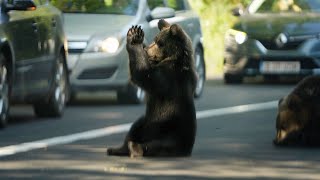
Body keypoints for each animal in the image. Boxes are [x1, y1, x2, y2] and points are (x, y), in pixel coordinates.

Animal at [106, 19, 198, 158]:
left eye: (159, 43)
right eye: (154, 39)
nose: (147, 49)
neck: (176, 58)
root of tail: (187, 150)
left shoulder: (167, 76)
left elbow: (143, 74)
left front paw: (134, 36)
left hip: (169, 131)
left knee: (156, 145)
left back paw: (136, 149)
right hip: (147, 121)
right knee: (135, 128)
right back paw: (117, 149)